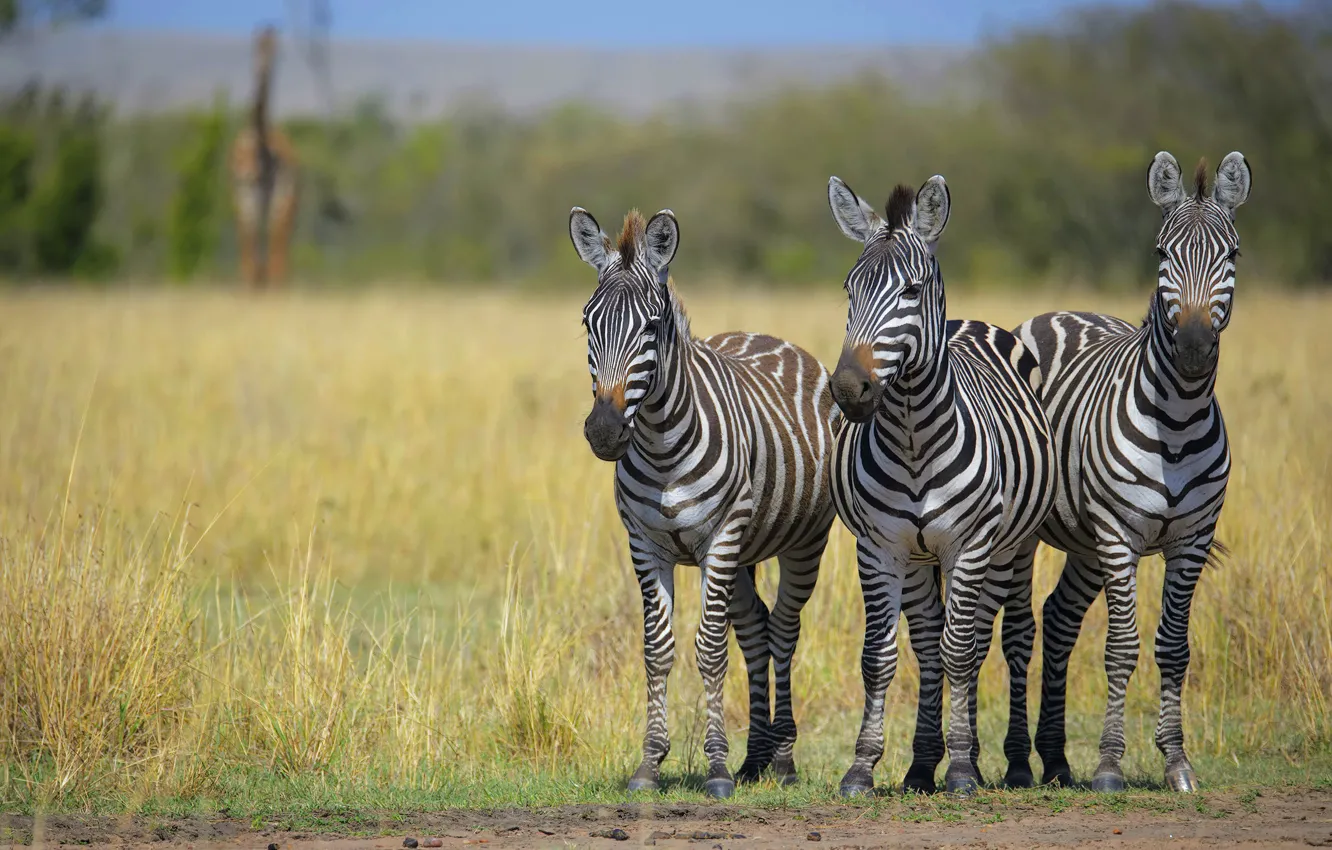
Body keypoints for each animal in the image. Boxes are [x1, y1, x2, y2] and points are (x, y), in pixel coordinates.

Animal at [569, 206, 839, 798]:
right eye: (587, 323)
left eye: (651, 326)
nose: (603, 432)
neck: (661, 444)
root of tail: (766, 336)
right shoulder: (645, 544)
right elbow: (657, 649)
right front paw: (650, 764)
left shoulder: (721, 536)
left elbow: (711, 649)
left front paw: (715, 768)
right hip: (741, 556)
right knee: (757, 631)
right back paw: (755, 758)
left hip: (799, 543)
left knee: (784, 630)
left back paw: (783, 759)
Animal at [824, 175, 1057, 796]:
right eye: (849, 290)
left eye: (911, 290)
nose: (848, 390)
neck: (912, 438)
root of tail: (969, 322)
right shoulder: (878, 547)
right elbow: (881, 656)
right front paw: (863, 767)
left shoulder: (969, 545)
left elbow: (962, 651)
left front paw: (961, 770)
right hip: (919, 558)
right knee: (931, 642)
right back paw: (923, 764)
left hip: (1013, 547)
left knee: (996, 639)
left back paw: (999, 763)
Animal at [1015, 151, 1252, 793]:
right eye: (1161, 253)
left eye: (1233, 255)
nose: (1193, 347)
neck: (1178, 418)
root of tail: (1058, 312)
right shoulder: (1118, 534)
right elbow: (1122, 647)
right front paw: (1109, 766)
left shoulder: (1193, 538)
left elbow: (1174, 647)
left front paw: (1177, 762)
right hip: (1047, 535)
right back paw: (1027, 760)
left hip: (1085, 542)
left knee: (1060, 617)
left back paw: (1055, 758)